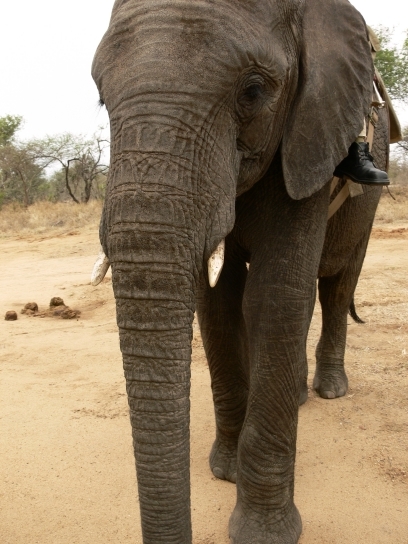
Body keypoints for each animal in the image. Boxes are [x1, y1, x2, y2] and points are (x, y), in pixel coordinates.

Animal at [91, 0, 388, 542]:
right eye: (102, 98)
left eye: (253, 91)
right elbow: (219, 301)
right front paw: (224, 472)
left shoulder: (309, 132)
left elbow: (276, 296)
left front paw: (263, 531)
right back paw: (299, 398)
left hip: (367, 203)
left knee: (336, 287)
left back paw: (330, 390)